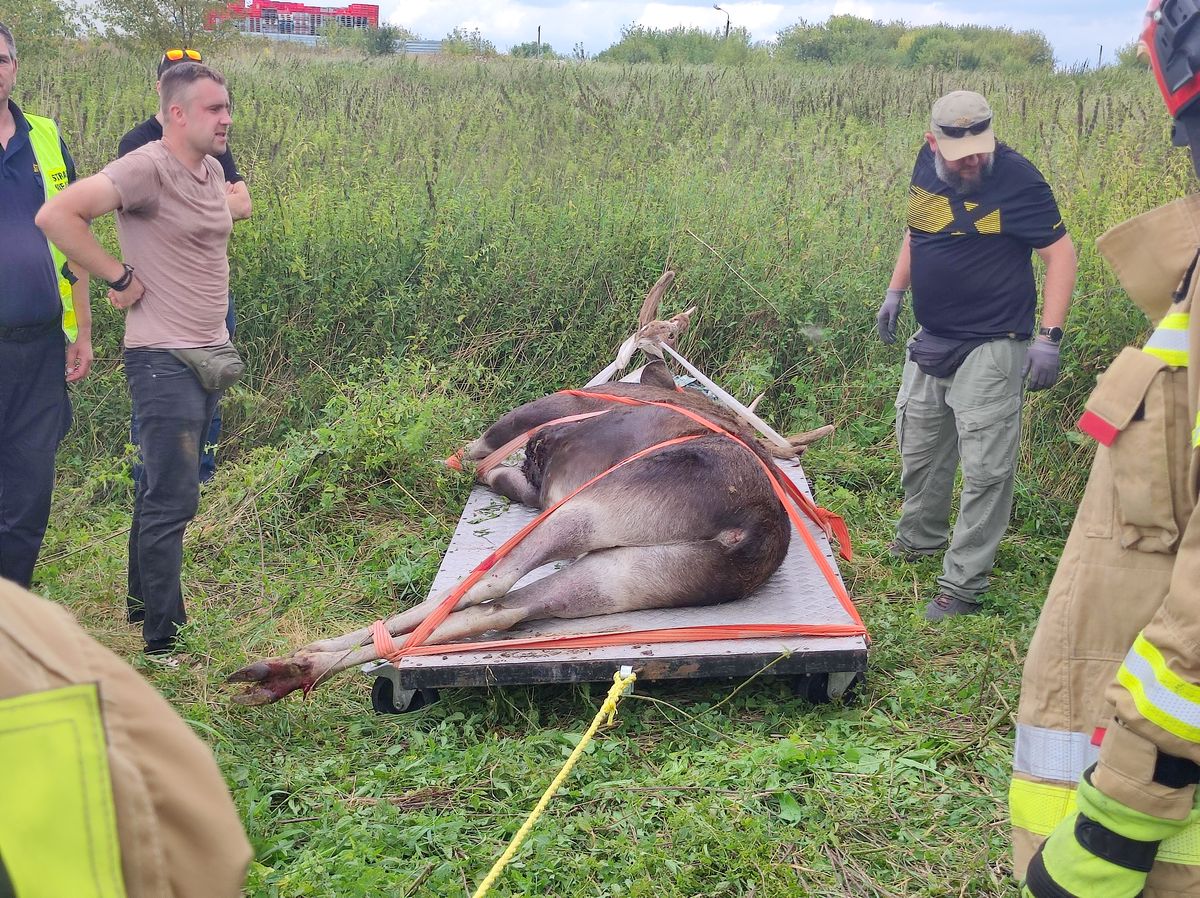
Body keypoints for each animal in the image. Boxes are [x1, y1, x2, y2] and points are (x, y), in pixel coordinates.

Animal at [231, 271, 835, 701]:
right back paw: (294, 667)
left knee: (487, 581)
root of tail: (746, 534)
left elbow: (470, 459)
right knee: (507, 608)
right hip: (628, 576)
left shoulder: (525, 446)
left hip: (589, 509)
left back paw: (308, 661)